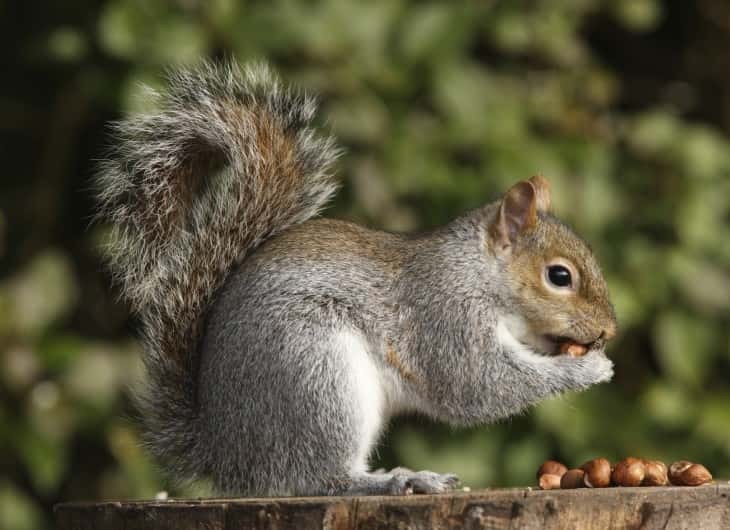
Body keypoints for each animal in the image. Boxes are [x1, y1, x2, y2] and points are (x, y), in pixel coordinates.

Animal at [95, 62, 616, 496]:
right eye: (559, 276)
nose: (609, 330)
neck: (477, 273)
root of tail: (226, 455)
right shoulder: (444, 318)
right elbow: (478, 385)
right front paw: (588, 369)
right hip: (317, 374)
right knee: (315, 479)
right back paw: (396, 481)